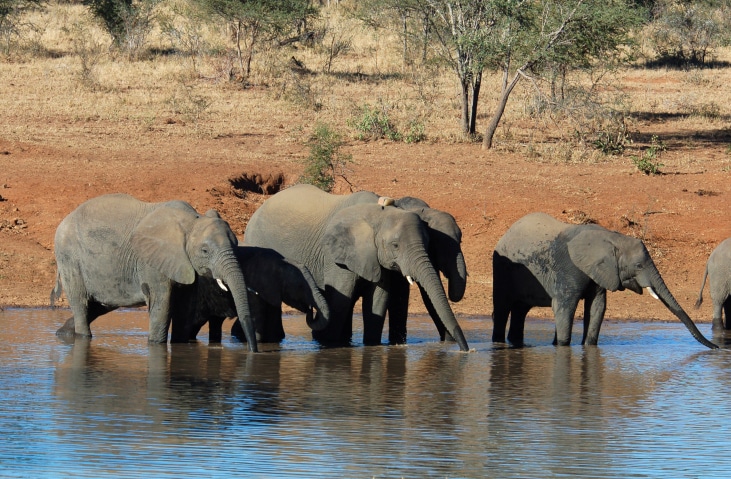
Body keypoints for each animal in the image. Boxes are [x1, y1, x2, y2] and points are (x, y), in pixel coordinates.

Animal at [50, 192, 260, 352]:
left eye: (235, 245)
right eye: (205, 251)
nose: (253, 351)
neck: (191, 221)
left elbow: (186, 307)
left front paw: (179, 345)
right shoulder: (151, 263)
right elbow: (163, 304)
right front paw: (156, 345)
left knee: (98, 305)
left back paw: (62, 333)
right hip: (70, 259)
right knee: (81, 303)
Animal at [174, 246, 328, 344]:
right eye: (301, 287)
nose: (310, 310)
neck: (282, 261)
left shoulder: (271, 291)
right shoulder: (256, 288)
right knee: (196, 322)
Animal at [243, 182, 472, 350]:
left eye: (428, 244)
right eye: (395, 245)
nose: (466, 350)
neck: (378, 214)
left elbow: (378, 299)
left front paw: (372, 346)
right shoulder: (336, 256)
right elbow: (340, 300)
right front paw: (329, 344)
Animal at [494, 213, 716, 348]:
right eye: (638, 266)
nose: (717, 347)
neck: (612, 238)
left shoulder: (600, 272)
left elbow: (597, 307)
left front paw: (588, 346)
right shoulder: (568, 268)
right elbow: (565, 307)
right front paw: (562, 346)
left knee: (521, 309)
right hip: (502, 267)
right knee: (503, 307)